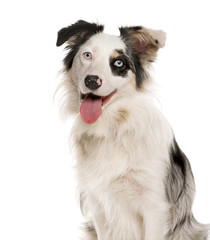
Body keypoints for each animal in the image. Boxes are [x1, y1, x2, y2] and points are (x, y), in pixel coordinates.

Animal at [56, 20, 210, 240]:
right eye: (87, 55)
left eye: (119, 63)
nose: (91, 80)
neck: (113, 126)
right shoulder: (99, 203)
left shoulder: (155, 207)